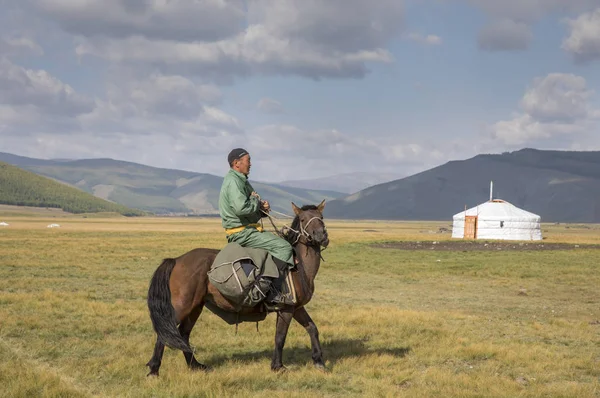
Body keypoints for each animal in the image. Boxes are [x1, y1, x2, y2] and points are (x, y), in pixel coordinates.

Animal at [148, 201, 330, 374]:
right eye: (303, 219)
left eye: (321, 217)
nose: (321, 235)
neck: (300, 266)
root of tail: (176, 260)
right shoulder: (286, 308)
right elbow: (280, 337)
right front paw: (278, 366)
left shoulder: (297, 307)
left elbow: (312, 328)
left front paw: (319, 361)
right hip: (182, 306)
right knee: (165, 333)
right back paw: (154, 370)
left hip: (195, 307)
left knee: (184, 334)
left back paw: (196, 366)